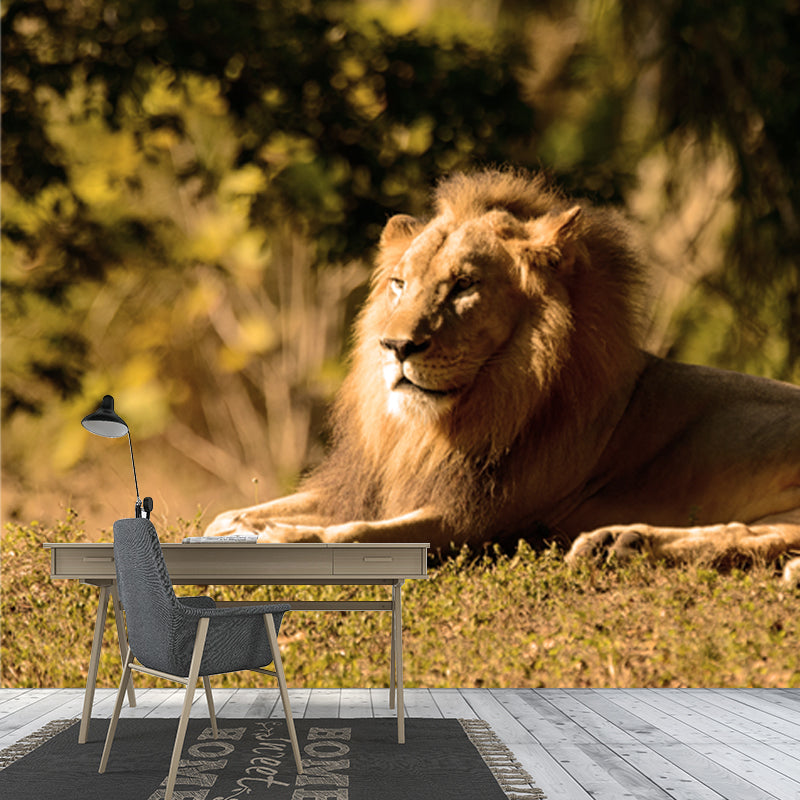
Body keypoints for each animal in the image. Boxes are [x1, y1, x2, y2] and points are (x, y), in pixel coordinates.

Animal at [206, 168, 800, 578]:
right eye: (399, 284)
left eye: (464, 286)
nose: (396, 346)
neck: (433, 428)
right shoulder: (375, 486)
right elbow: (240, 512)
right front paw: (231, 527)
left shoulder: (476, 521)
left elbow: (356, 535)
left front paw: (285, 541)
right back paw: (620, 544)